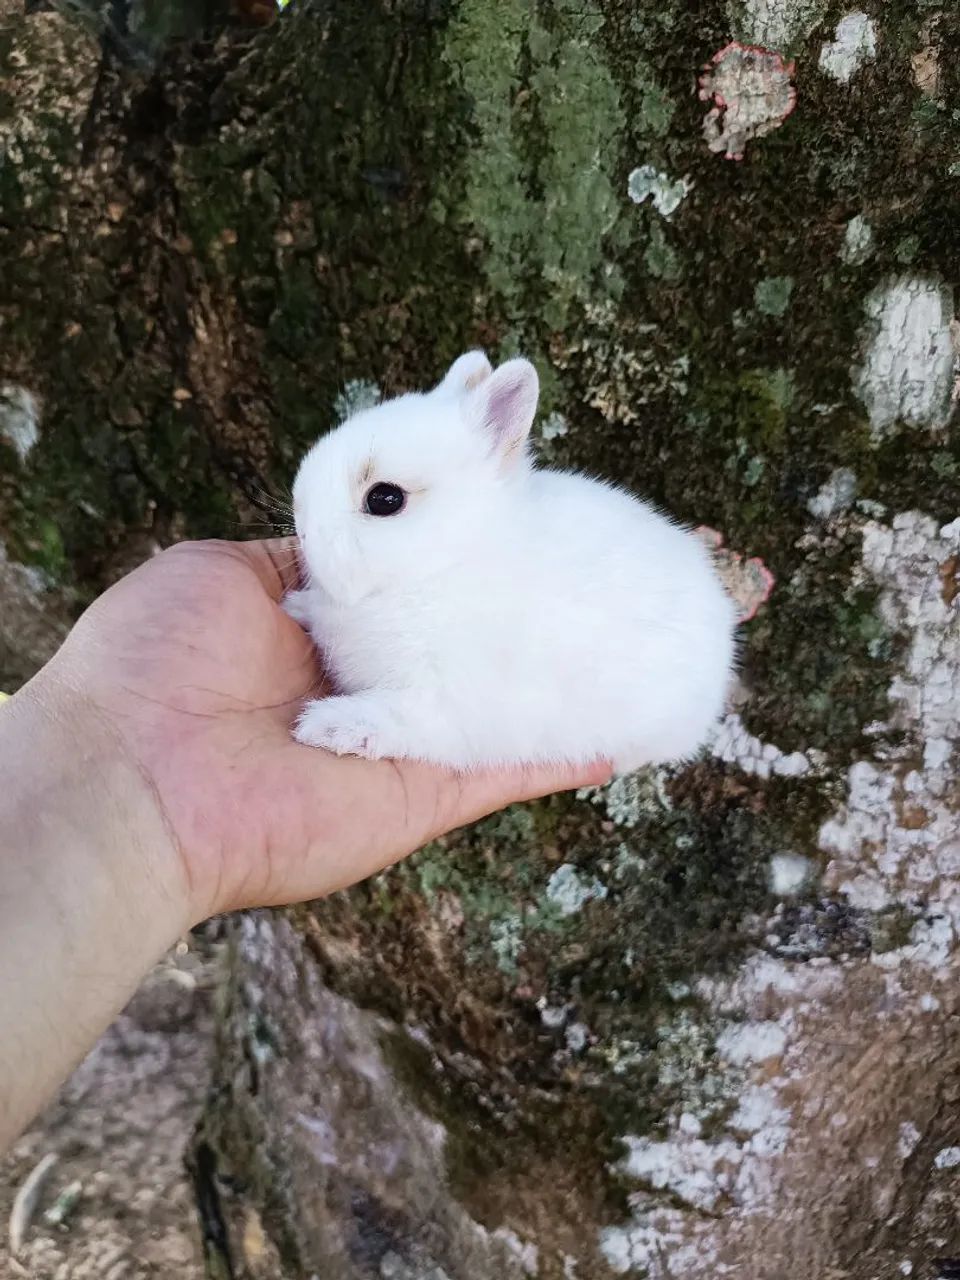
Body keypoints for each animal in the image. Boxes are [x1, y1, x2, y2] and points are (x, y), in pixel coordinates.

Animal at [283, 350, 737, 773]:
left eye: (384, 499)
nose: (302, 529)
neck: (443, 564)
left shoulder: (442, 702)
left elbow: (396, 719)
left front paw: (327, 727)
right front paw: (296, 607)